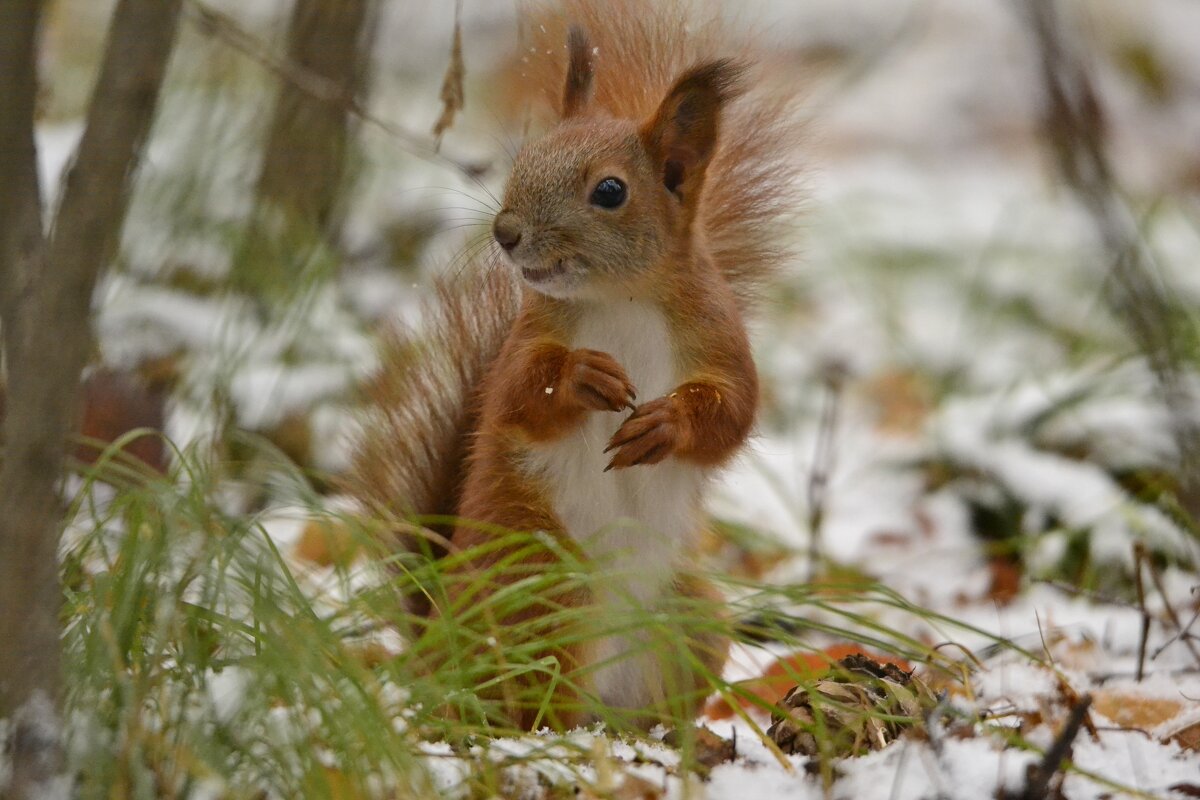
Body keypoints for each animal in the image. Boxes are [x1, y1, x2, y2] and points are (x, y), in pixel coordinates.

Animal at [350, 0, 801, 729]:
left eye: (611, 191)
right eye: (525, 160)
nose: (505, 232)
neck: (621, 297)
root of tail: (437, 642)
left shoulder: (720, 340)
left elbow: (734, 412)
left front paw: (667, 423)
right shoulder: (528, 340)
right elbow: (517, 394)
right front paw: (584, 376)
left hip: (689, 618)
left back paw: (663, 736)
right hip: (540, 599)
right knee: (533, 696)